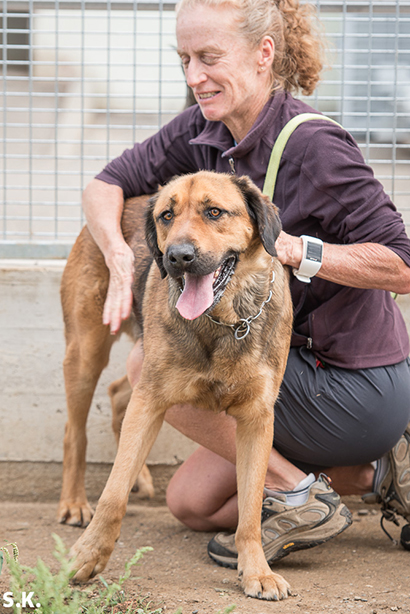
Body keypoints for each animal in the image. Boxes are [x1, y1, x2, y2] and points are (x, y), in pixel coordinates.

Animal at [65, 171, 293, 600]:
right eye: (167, 216)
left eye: (214, 212)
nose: (177, 257)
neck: (224, 320)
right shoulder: (151, 399)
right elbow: (112, 496)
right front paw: (88, 555)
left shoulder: (257, 419)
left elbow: (251, 510)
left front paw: (257, 571)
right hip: (86, 355)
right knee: (76, 431)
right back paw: (73, 503)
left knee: (118, 394)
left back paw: (140, 477)